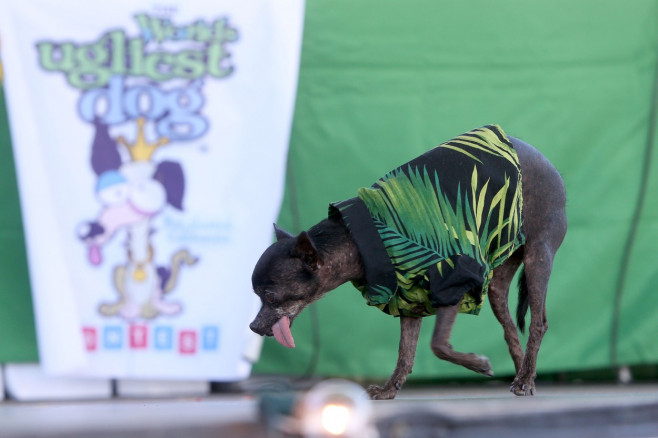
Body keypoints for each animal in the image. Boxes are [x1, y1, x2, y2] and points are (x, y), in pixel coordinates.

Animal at [247, 125, 564, 398]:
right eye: (256, 297)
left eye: (271, 296)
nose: (253, 327)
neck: (358, 239)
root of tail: (550, 165)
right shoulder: (409, 299)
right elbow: (405, 352)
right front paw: (390, 389)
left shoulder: (455, 279)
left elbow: (437, 345)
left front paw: (478, 364)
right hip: (499, 282)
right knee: (510, 328)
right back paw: (524, 374)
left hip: (538, 258)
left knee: (539, 323)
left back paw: (525, 378)